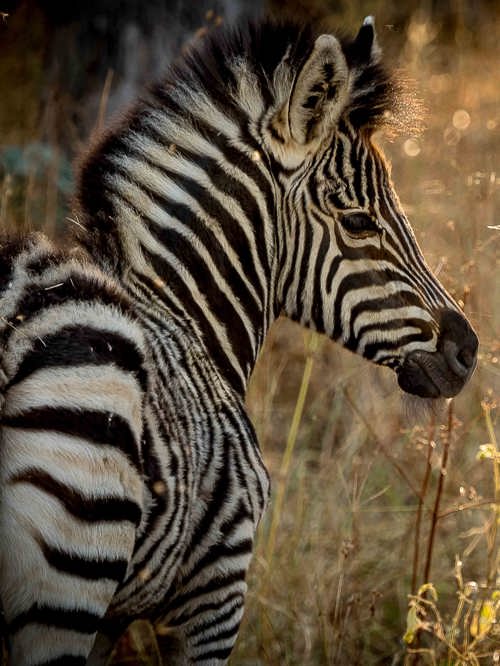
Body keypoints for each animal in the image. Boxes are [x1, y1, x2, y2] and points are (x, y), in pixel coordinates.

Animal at [0, 16, 478, 666]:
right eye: (358, 222)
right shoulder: (215, 592)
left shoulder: (119, 616)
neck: (186, 316)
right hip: (70, 572)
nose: (469, 352)